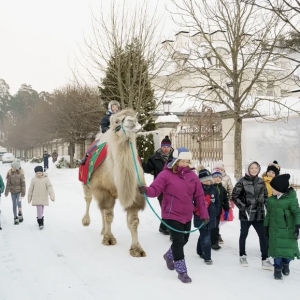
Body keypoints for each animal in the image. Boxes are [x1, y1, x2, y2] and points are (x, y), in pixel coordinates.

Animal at [81, 109, 147, 256]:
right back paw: (86, 221)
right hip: (86, 182)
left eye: (134, 117)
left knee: (101, 209)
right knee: (89, 199)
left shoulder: (135, 192)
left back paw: (102, 230)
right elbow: (109, 216)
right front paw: (109, 239)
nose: (131, 121)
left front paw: (137, 249)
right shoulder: (103, 189)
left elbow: (134, 221)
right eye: (117, 121)